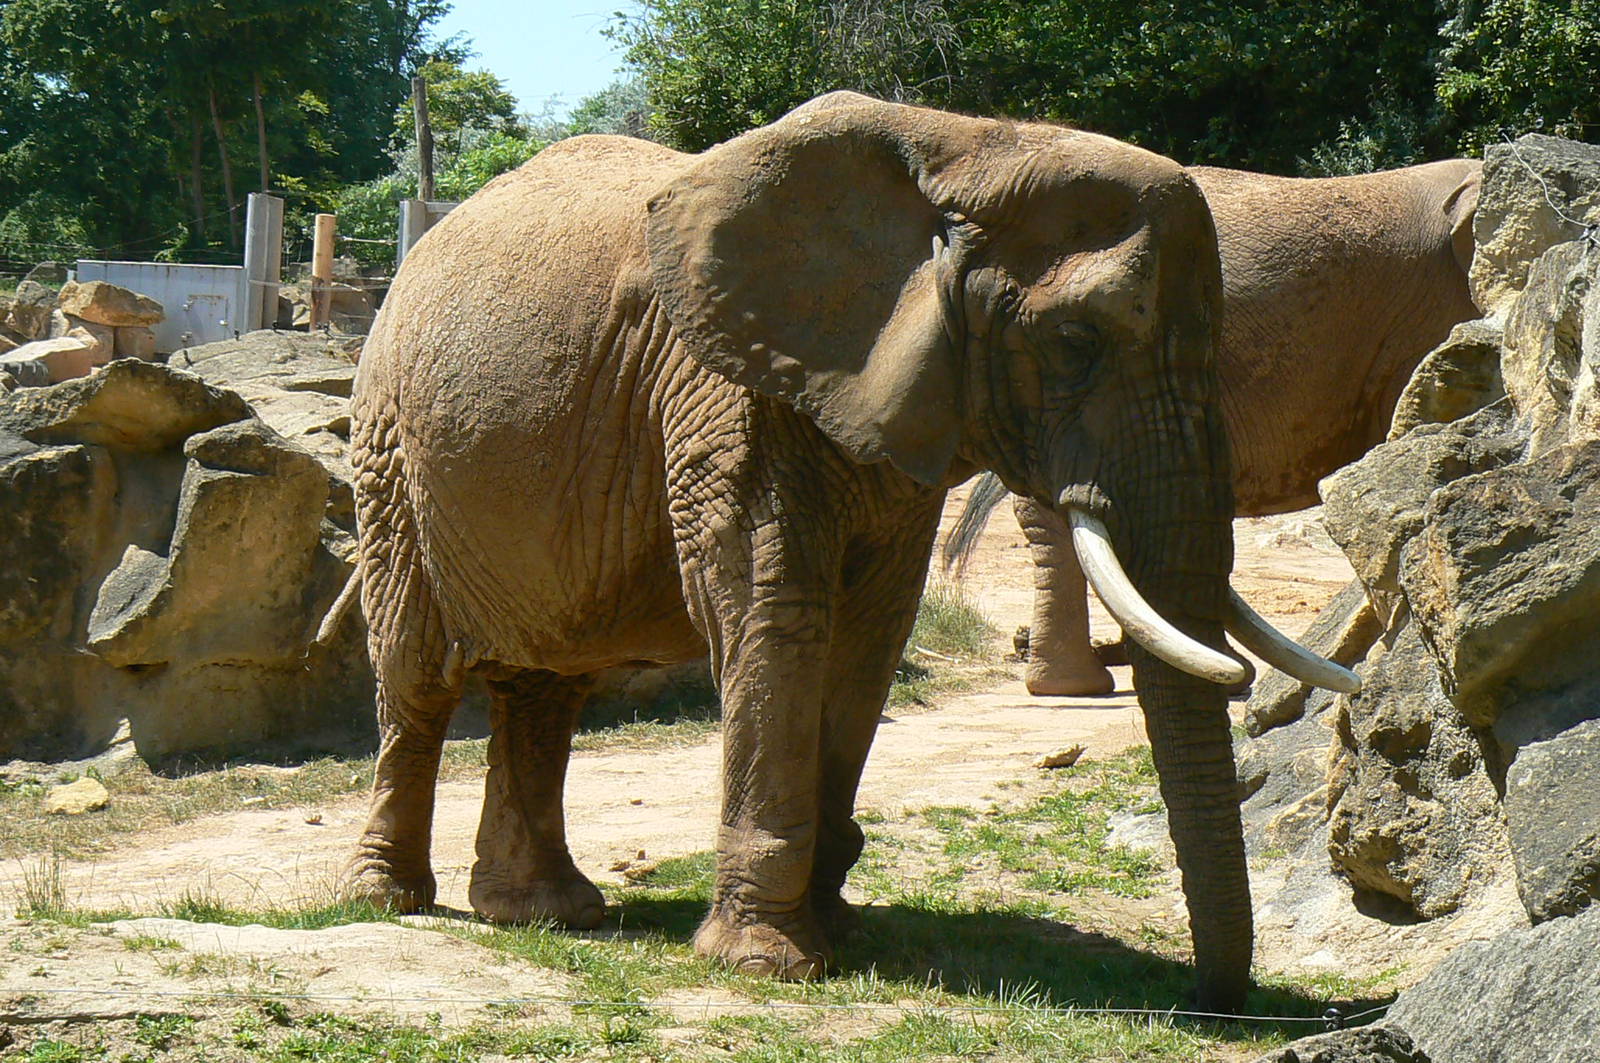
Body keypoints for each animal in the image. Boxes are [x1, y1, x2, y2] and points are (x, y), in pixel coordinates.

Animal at [341, 91, 1352, 1011]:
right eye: (1074, 340)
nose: (1210, 998)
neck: (964, 145)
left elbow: (871, 629)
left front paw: (838, 929)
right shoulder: (728, 388)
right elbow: (777, 605)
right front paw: (767, 963)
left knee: (545, 681)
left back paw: (545, 912)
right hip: (388, 449)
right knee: (418, 673)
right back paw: (387, 899)